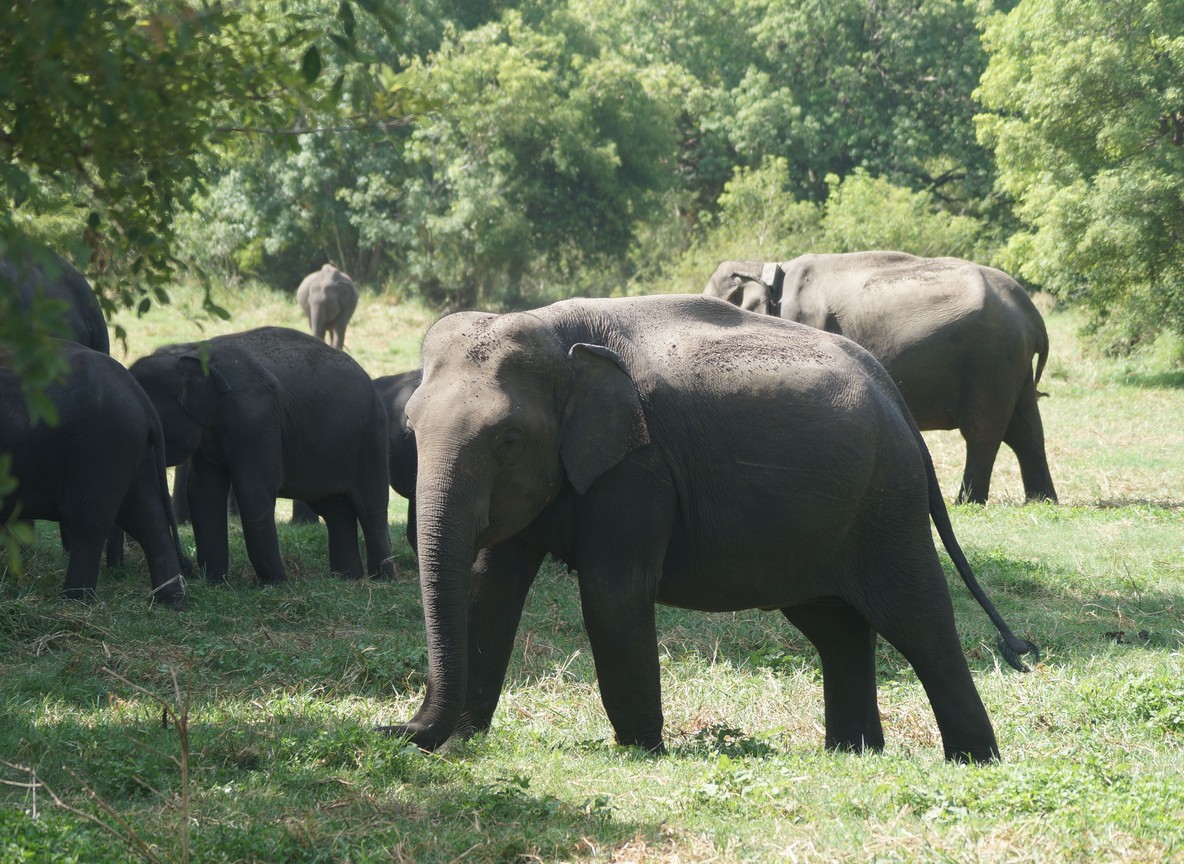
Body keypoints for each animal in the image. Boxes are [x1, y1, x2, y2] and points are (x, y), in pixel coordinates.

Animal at [0, 340, 189, 608]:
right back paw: (171, 602)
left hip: (99, 446)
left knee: (89, 522)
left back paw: (73, 602)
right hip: (130, 449)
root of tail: (139, 396)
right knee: (148, 519)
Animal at [129, 326, 394, 585]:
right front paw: (214, 582)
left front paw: (275, 584)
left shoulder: (255, 417)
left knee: (371, 508)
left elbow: (253, 490)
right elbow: (203, 491)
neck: (191, 356)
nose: (189, 570)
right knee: (335, 510)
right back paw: (347, 579)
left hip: (372, 439)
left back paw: (382, 579)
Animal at [703, 251, 1057, 505]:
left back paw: (967, 502)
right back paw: (1041, 500)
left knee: (984, 431)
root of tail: (1033, 317)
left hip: (990, 360)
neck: (766, 266)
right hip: (1013, 366)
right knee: (1027, 429)